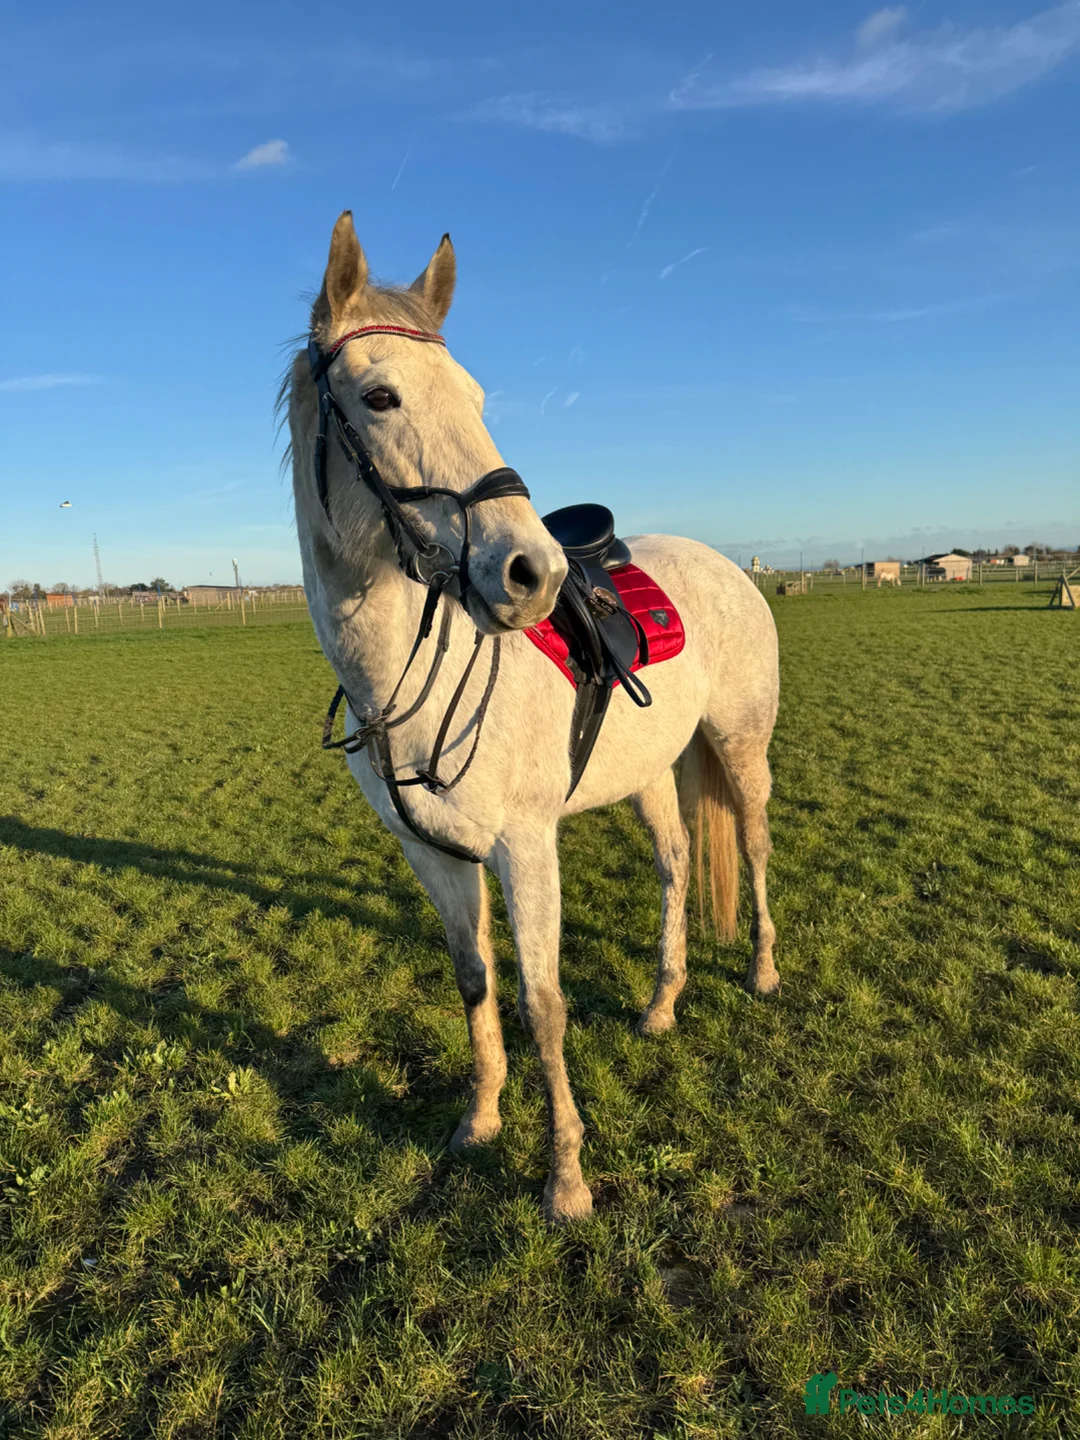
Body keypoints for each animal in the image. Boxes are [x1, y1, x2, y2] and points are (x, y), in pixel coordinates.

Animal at [285, 212, 780, 1223]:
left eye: (476, 396)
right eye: (381, 396)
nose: (534, 573)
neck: (404, 681)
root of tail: (728, 563)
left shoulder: (525, 846)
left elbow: (542, 1002)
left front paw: (566, 1179)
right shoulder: (433, 856)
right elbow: (475, 983)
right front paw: (480, 1121)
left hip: (741, 747)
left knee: (751, 847)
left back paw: (761, 972)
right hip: (651, 776)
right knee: (677, 866)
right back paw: (662, 1003)